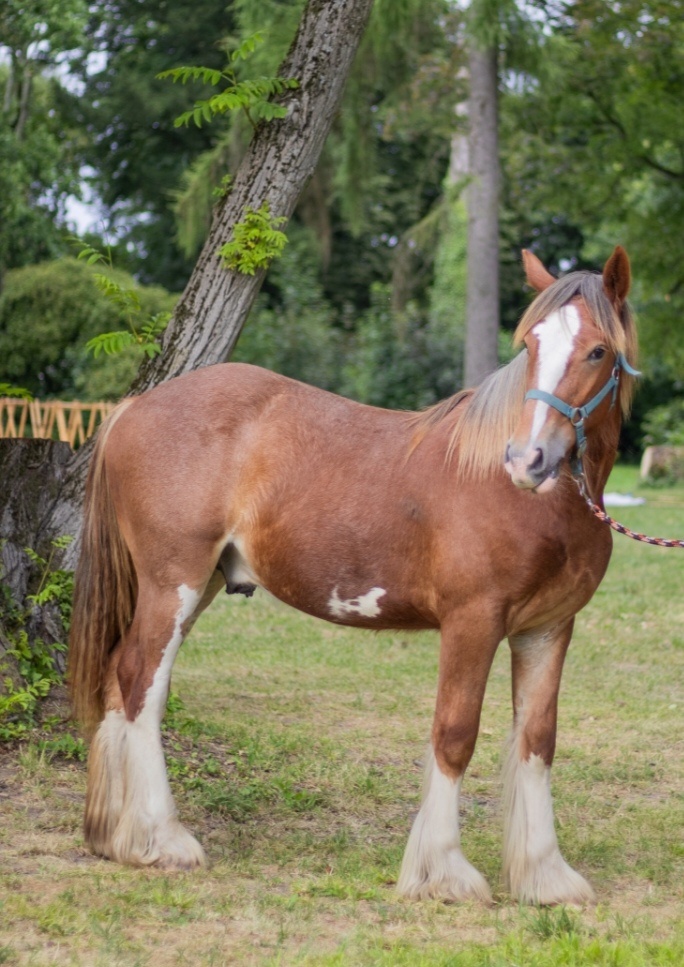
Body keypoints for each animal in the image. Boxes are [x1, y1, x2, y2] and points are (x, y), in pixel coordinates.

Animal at [68, 245, 637, 905]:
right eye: (530, 344)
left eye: (597, 351)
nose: (528, 460)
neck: (533, 501)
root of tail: (134, 407)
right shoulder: (473, 622)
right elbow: (454, 734)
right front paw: (443, 873)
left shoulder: (546, 630)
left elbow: (537, 742)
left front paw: (545, 875)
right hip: (173, 583)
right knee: (142, 683)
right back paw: (163, 839)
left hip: (196, 584)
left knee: (120, 676)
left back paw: (117, 836)